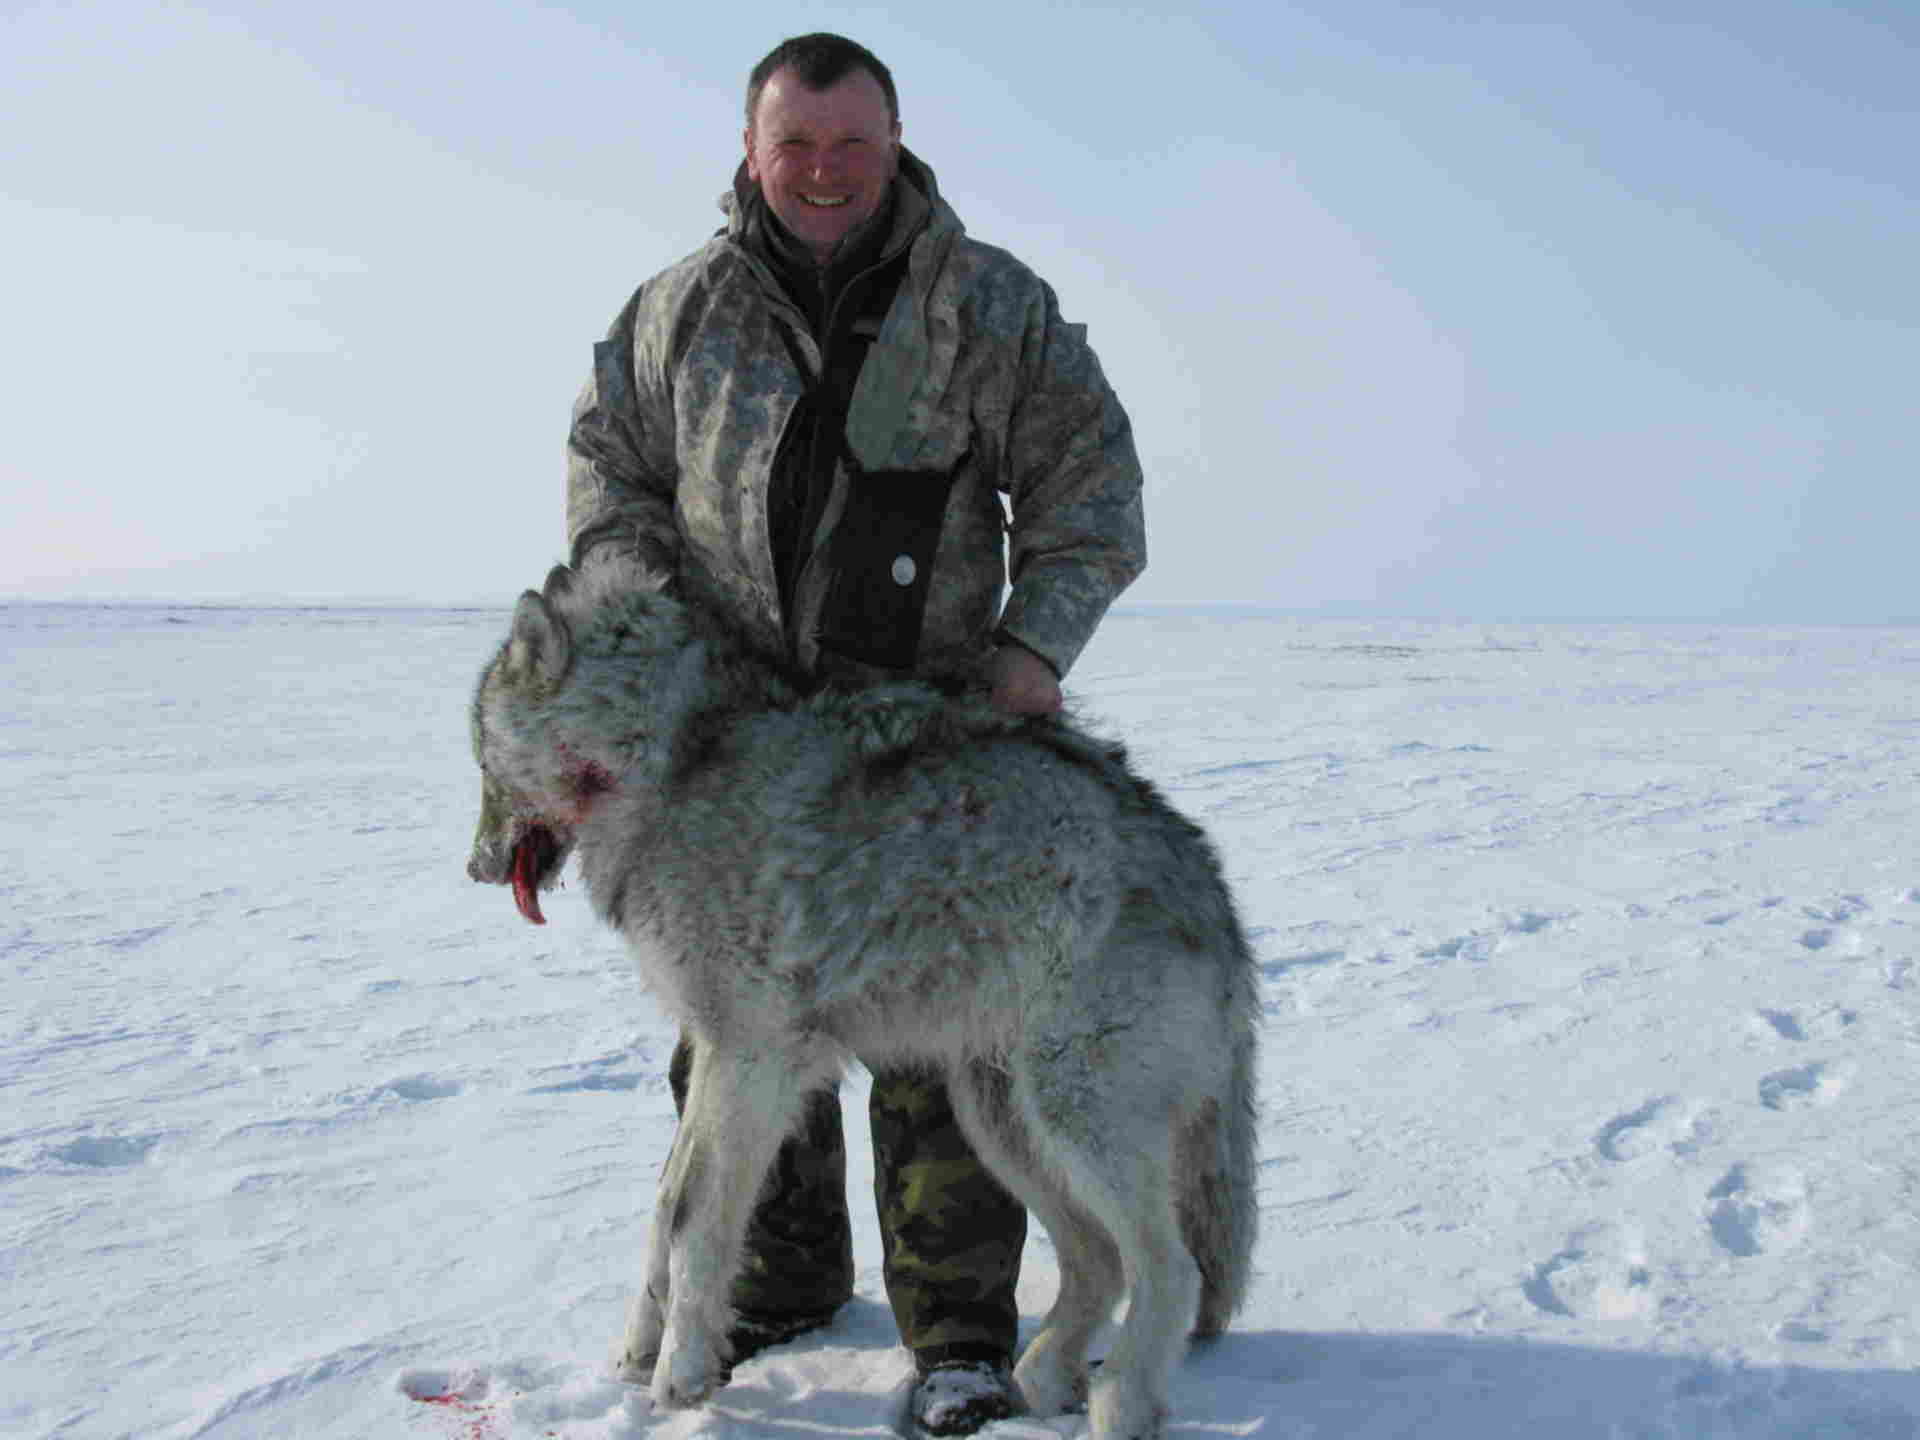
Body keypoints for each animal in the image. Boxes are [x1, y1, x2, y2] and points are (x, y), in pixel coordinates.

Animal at [468, 564, 1259, 1440]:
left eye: (482, 763)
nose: (476, 865)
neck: (674, 758)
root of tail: (1214, 894)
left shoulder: (753, 1058)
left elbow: (693, 1218)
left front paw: (679, 1379)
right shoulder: (720, 1053)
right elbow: (666, 1206)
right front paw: (641, 1355)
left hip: (1075, 1116)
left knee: (1170, 1270)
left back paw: (1118, 1402)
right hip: (1004, 1120)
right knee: (1102, 1263)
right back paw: (1048, 1376)